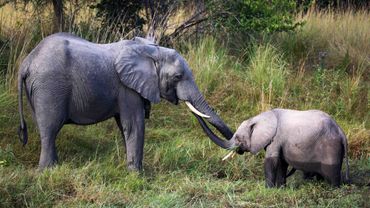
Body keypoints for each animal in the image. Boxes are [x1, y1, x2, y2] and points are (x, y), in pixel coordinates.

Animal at [18, 33, 231, 171]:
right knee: (50, 129)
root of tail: (26, 62)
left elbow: (125, 126)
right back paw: (48, 171)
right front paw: (137, 174)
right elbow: (134, 125)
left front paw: (132, 168)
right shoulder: (127, 89)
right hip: (49, 87)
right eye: (178, 77)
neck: (150, 51)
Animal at [195, 109, 348, 187]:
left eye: (238, 138)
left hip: (331, 147)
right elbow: (281, 163)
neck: (259, 117)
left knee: (332, 173)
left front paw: (268, 189)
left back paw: (334, 188)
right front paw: (281, 188)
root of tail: (341, 132)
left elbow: (272, 161)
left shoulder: (277, 137)